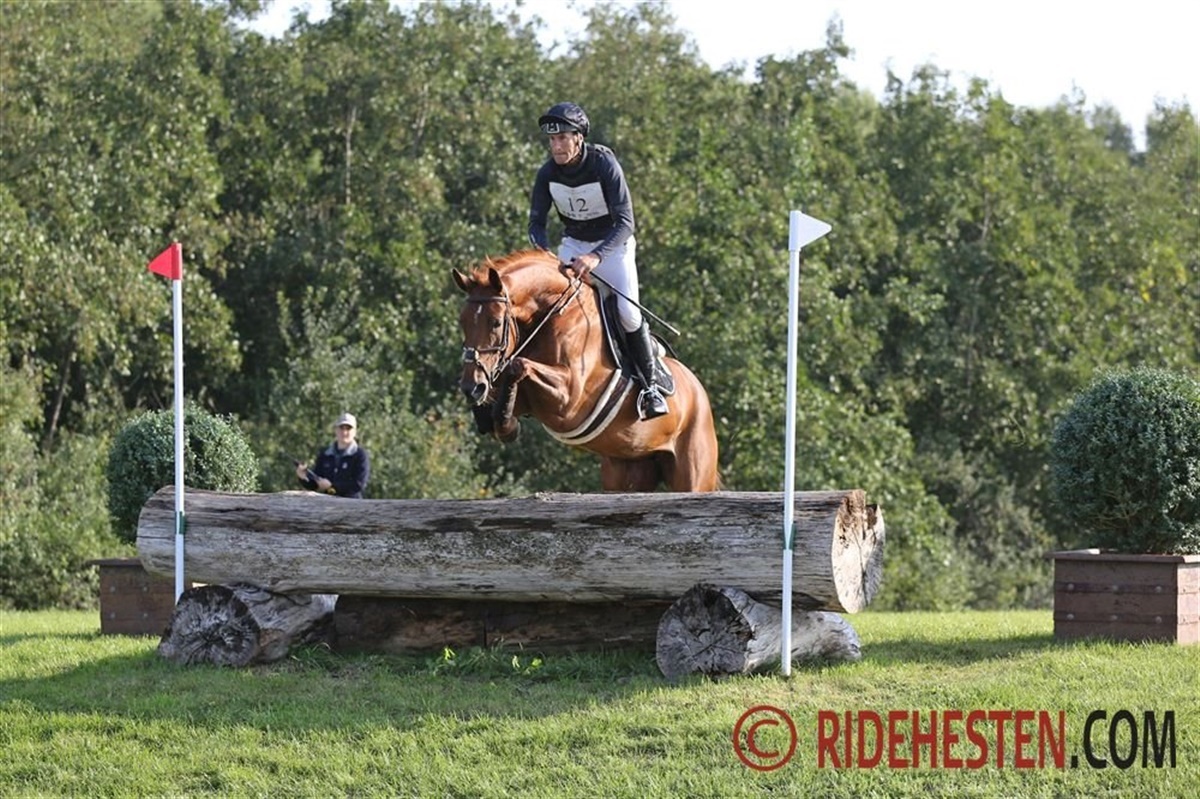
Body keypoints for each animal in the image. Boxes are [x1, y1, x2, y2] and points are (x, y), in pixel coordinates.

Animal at [452, 249, 719, 492]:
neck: (553, 312)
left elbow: (517, 366)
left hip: (692, 472)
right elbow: (504, 384)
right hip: (628, 469)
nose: (470, 387)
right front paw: (497, 419)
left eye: (496, 323)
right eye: (462, 321)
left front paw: (506, 426)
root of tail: (698, 390)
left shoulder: (568, 399)